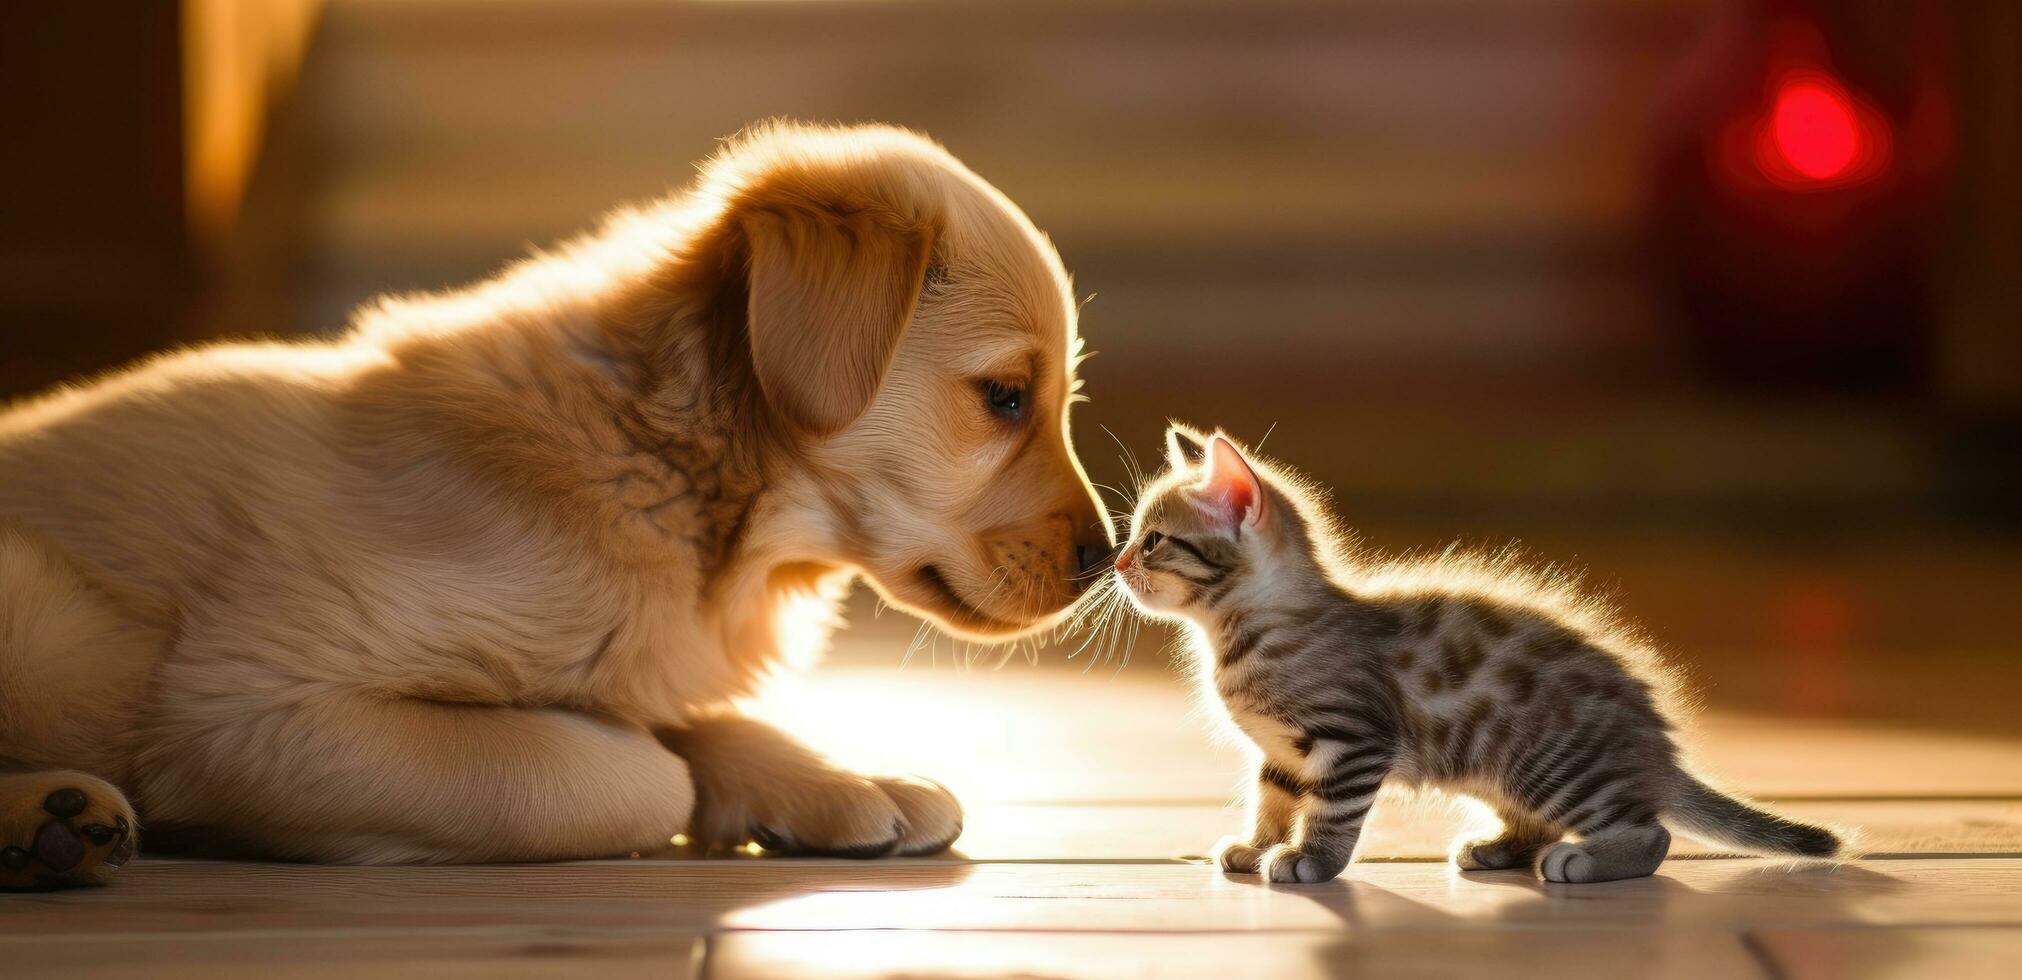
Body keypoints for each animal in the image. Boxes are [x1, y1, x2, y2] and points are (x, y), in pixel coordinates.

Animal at [0, 122, 1108, 885]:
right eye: (1005, 396)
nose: (1108, 560)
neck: (660, 467)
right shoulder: (252, 703)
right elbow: (634, 768)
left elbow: (682, 715)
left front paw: (844, 782)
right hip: (54, 620)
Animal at [1116, 424, 1844, 880]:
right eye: (1135, 537)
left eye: (1153, 540)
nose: (1116, 562)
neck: (1240, 633)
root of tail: (1657, 749)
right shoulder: (1283, 755)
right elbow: (1272, 801)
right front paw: (1257, 845)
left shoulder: (1353, 740)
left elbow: (1331, 813)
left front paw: (1309, 860)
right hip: (1506, 773)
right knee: (1545, 824)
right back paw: (1499, 848)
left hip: (1551, 767)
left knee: (1650, 831)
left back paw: (1586, 862)